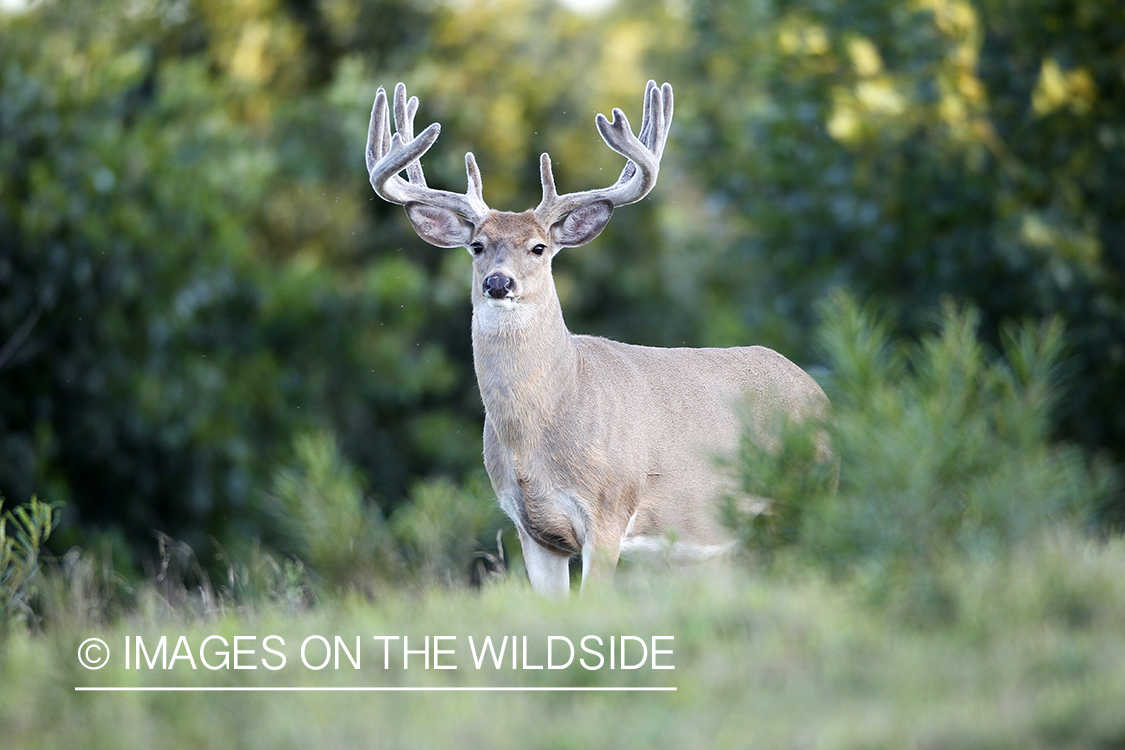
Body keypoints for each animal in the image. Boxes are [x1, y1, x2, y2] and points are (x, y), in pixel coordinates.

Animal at [364, 80, 832, 598]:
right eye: (477, 246)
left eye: (539, 247)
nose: (498, 283)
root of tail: (819, 392)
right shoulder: (532, 530)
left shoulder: (609, 510)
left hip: (812, 487)